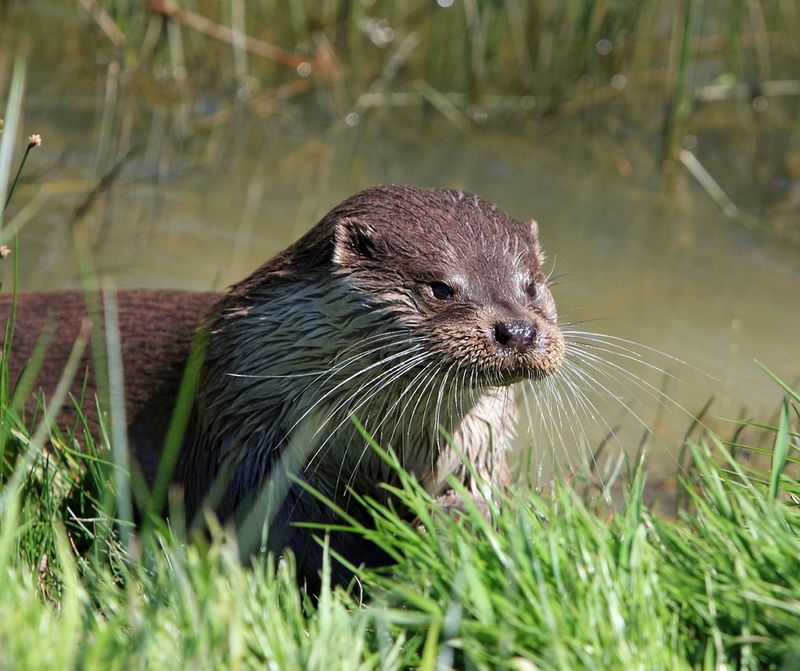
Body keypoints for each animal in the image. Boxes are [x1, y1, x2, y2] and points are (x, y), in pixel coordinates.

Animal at [1, 186, 564, 584]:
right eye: (441, 288)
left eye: (531, 286)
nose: (518, 330)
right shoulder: (245, 436)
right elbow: (283, 530)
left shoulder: (478, 442)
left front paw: (460, 523)